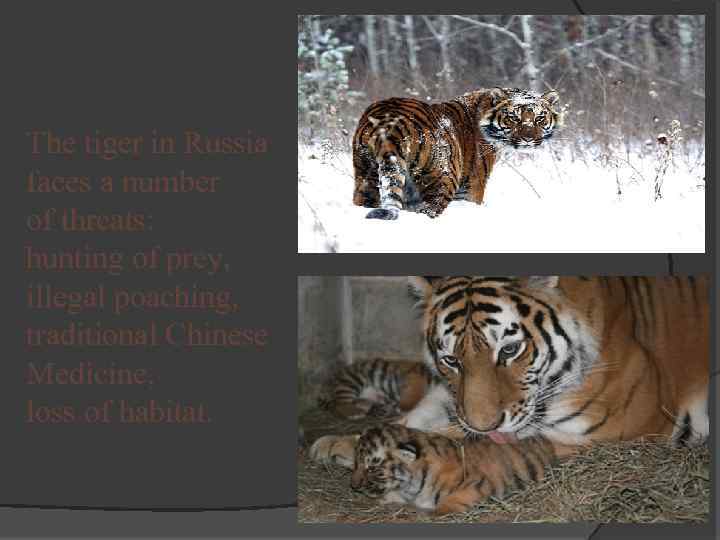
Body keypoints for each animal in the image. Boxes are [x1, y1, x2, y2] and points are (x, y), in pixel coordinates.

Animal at [350, 423, 556, 516]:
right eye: (356, 464)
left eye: (372, 468)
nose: (353, 486)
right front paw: (387, 499)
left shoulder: (477, 482)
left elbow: (453, 500)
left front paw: (433, 512)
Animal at [352, 87, 562, 220]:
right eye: (514, 118)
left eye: (539, 118)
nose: (528, 139)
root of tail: (389, 119)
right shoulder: (471, 188)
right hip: (442, 179)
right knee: (428, 210)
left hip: (366, 175)